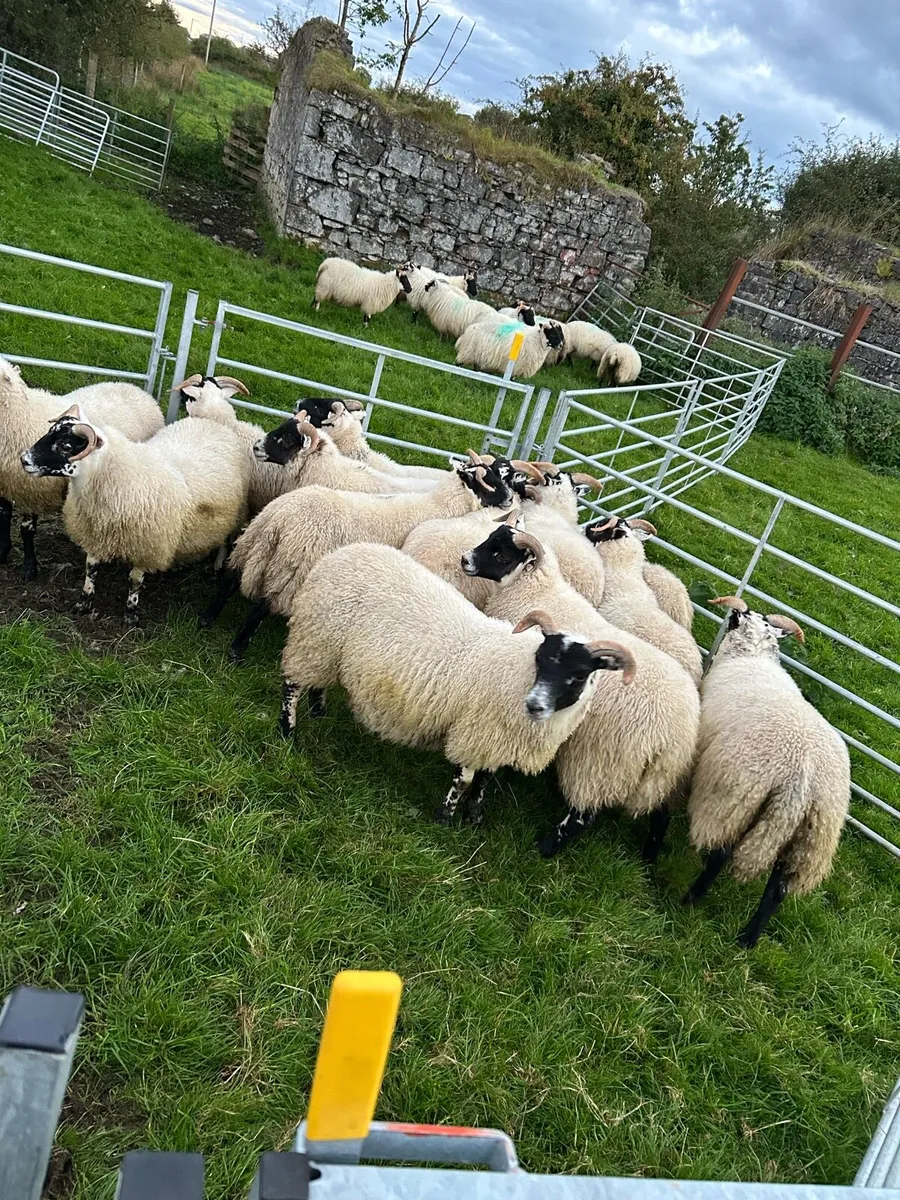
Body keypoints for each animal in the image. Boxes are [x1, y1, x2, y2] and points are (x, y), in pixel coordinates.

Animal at [0, 356, 164, 580]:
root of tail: (140, 391)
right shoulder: (5, 482)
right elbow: (4, 515)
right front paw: (3, 551)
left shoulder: (30, 488)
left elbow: (26, 530)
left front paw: (29, 568)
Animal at [21, 404, 249, 625]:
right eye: (50, 432)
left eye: (66, 446)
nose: (24, 460)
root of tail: (212, 422)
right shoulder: (95, 531)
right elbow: (91, 569)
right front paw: (84, 602)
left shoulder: (146, 545)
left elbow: (135, 580)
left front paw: (130, 613)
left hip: (231, 516)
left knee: (224, 541)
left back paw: (217, 567)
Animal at [203, 455, 515, 659]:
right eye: (489, 480)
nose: (512, 498)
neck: (436, 505)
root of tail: (279, 520)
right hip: (292, 566)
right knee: (262, 605)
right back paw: (237, 649)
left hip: (252, 544)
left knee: (229, 579)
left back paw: (206, 619)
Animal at [280, 542, 635, 825]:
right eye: (541, 659)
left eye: (580, 675)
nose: (535, 705)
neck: (515, 672)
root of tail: (343, 552)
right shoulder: (472, 732)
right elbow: (464, 780)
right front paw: (445, 818)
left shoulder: (494, 740)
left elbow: (485, 781)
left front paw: (475, 815)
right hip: (316, 636)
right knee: (291, 685)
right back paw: (288, 732)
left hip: (326, 647)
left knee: (317, 682)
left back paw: (319, 711)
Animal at [684, 596, 851, 948]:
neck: (752, 654)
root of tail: (801, 779)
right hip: (812, 833)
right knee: (779, 889)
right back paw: (748, 939)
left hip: (734, 798)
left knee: (721, 854)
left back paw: (692, 897)